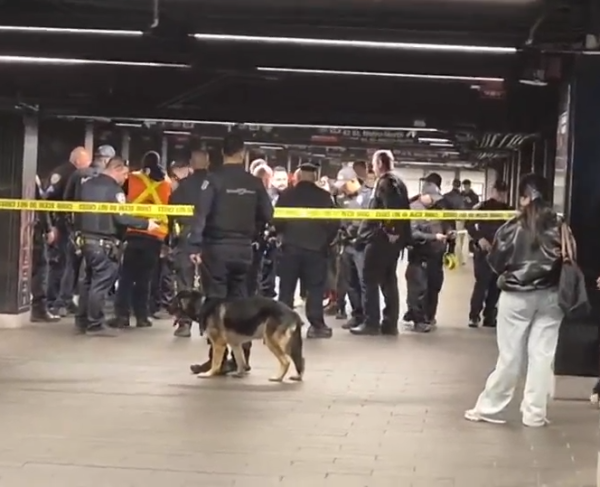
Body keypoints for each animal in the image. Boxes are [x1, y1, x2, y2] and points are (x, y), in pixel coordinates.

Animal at [170, 290, 305, 382]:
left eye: (174, 301)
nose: (166, 306)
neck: (201, 304)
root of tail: (293, 313)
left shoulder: (219, 344)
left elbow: (216, 362)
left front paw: (209, 373)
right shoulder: (235, 344)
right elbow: (240, 360)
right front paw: (240, 373)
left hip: (272, 341)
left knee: (286, 361)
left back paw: (278, 377)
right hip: (287, 343)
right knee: (300, 359)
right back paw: (297, 376)